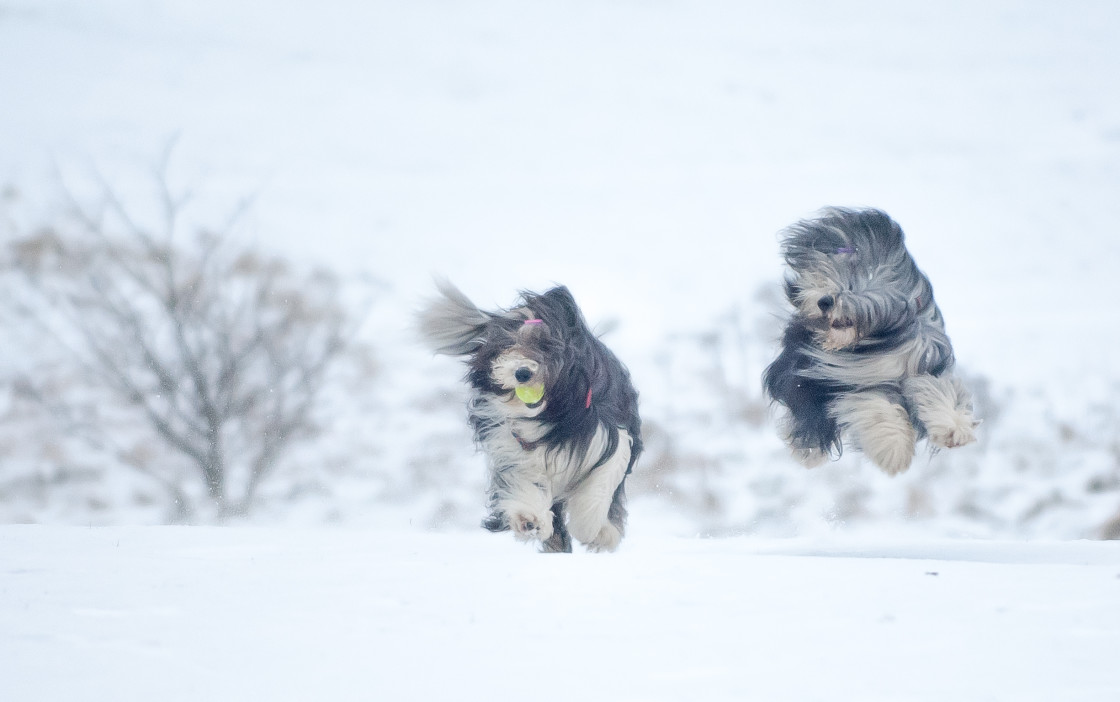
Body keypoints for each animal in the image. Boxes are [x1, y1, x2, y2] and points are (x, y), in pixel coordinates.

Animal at [418, 281, 649, 555]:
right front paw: (528, 519)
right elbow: (524, 486)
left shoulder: (609, 437)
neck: (550, 415)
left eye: (546, 345)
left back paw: (602, 534)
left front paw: (592, 531)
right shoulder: (513, 449)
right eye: (507, 345)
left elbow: (598, 490)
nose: (522, 373)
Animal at [761, 206, 981, 474]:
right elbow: (877, 405)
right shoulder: (846, 383)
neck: (882, 339)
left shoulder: (926, 362)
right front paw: (894, 451)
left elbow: (938, 390)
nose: (824, 301)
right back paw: (811, 453)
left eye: (854, 281)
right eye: (824, 273)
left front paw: (954, 427)